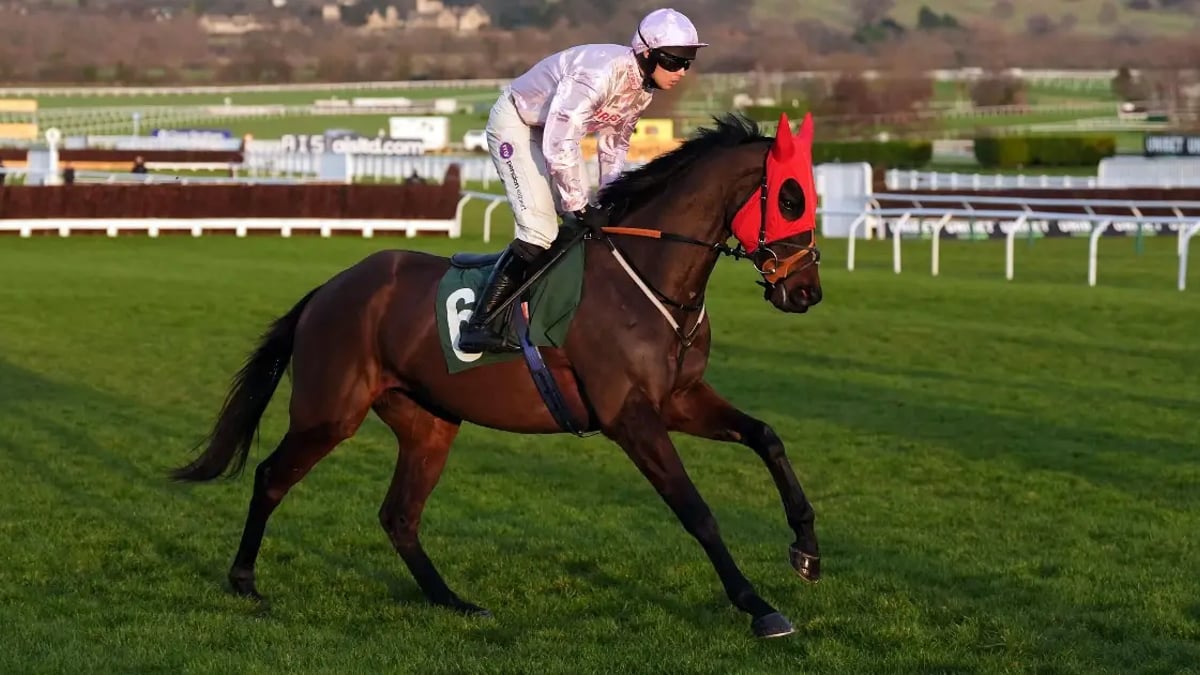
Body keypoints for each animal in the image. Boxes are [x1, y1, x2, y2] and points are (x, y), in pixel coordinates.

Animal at [170, 111, 825, 639]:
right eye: (791, 199)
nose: (806, 293)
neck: (649, 278)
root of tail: (328, 290)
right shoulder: (630, 416)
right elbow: (696, 509)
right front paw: (758, 606)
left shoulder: (679, 398)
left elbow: (767, 436)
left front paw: (806, 548)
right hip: (328, 412)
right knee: (270, 477)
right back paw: (244, 579)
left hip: (429, 422)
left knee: (398, 515)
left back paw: (452, 601)